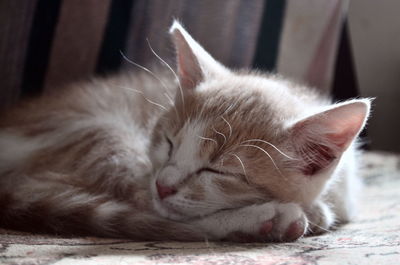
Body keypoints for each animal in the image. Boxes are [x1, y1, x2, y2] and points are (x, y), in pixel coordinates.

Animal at [0, 21, 368, 240]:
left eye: (218, 171)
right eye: (169, 143)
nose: (163, 185)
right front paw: (299, 212)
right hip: (94, 130)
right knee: (150, 211)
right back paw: (269, 219)